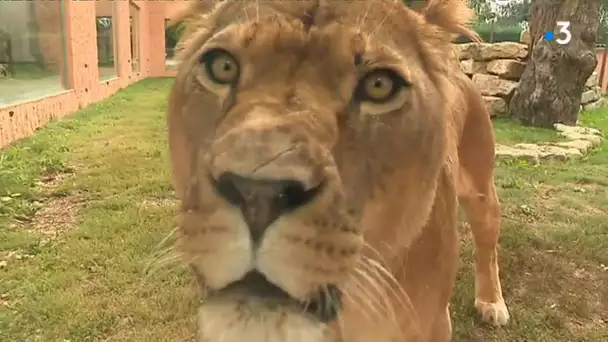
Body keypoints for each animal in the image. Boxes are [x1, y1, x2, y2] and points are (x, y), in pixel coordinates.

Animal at [165, 1, 508, 340]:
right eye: (222, 67)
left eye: (379, 85)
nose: (257, 195)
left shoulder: (434, 325)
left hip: (481, 191)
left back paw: (492, 303)